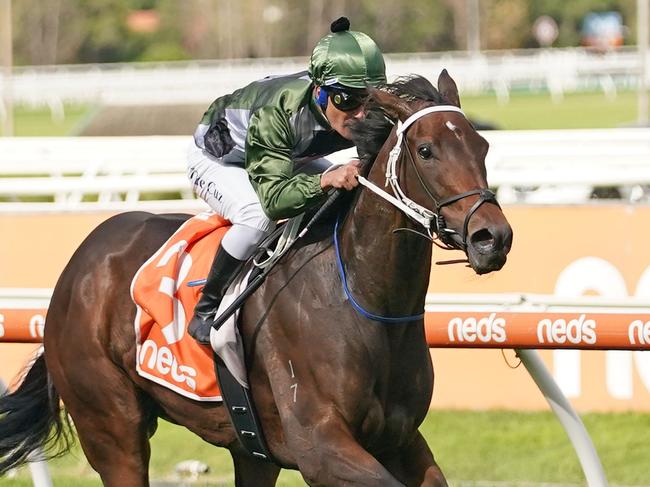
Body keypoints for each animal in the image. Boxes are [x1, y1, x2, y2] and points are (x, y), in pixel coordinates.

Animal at [1, 69, 512, 487]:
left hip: (249, 446)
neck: (362, 298)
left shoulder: (400, 438)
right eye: (426, 151)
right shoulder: (320, 447)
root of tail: (76, 267)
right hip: (112, 427)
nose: (493, 237)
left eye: (483, 147)